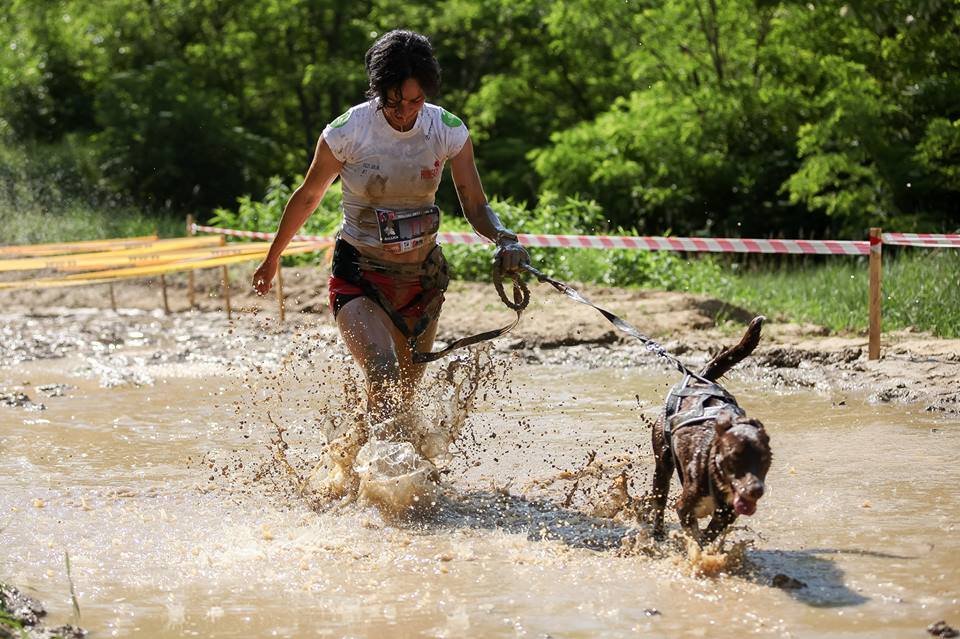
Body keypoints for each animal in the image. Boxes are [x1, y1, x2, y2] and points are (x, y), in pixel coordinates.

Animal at [648, 316, 768, 544]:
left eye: (764, 461)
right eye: (734, 457)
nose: (755, 490)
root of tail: (699, 382)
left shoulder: (727, 513)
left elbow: (709, 534)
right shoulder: (685, 507)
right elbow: (695, 536)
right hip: (663, 460)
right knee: (659, 499)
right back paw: (657, 533)